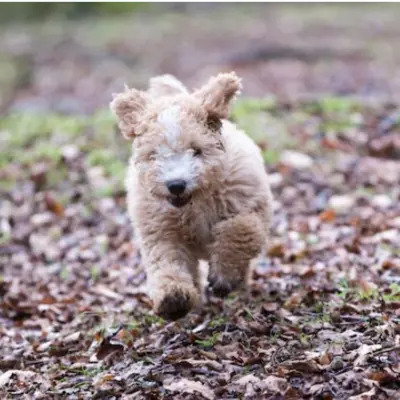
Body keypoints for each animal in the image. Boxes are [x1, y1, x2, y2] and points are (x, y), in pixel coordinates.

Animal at [109, 72, 272, 320]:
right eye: (154, 154)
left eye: (196, 150)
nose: (176, 185)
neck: (196, 202)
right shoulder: (161, 231)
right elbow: (166, 261)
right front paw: (173, 298)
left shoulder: (247, 206)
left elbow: (240, 230)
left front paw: (223, 276)